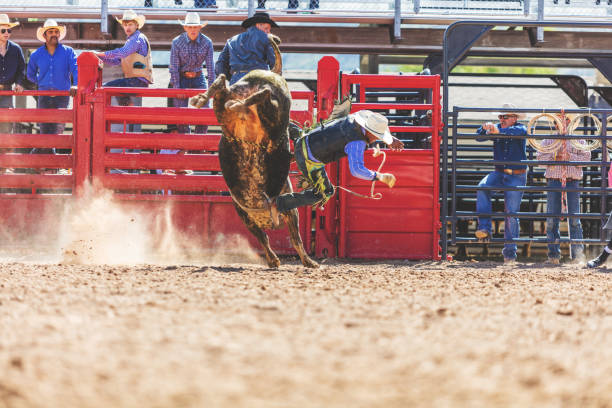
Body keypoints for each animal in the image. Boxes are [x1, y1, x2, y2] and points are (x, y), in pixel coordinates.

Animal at [191, 31, 318, 268]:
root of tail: (265, 74)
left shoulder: (248, 215)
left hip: (227, 114)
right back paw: (242, 102)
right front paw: (300, 261)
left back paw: (204, 98)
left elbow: (264, 236)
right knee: (264, 95)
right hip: (274, 114)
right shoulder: (288, 209)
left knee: (223, 84)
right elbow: (292, 237)